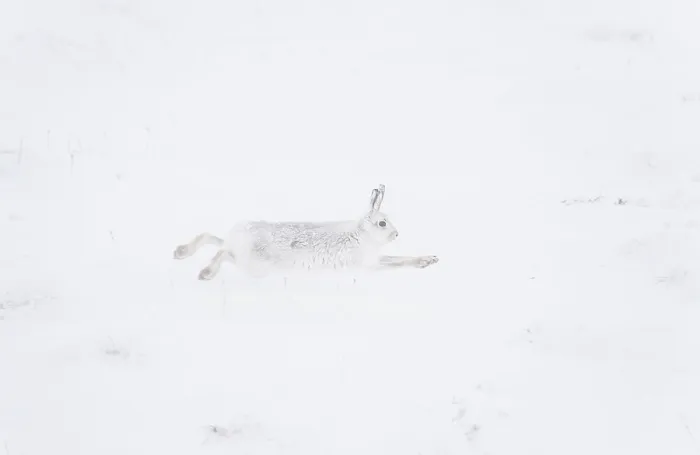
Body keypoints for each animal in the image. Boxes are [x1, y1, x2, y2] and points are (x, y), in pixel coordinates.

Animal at [173, 184, 439, 281]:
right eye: (382, 223)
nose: (397, 234)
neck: (359, 234)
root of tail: (239, 235)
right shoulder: (369, 264)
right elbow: (395, 263)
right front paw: (425, 261)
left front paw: (429, 260)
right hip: (255, 263)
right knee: (223, 253)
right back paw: (205, 273)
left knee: (212, 240)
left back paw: (181, 252)